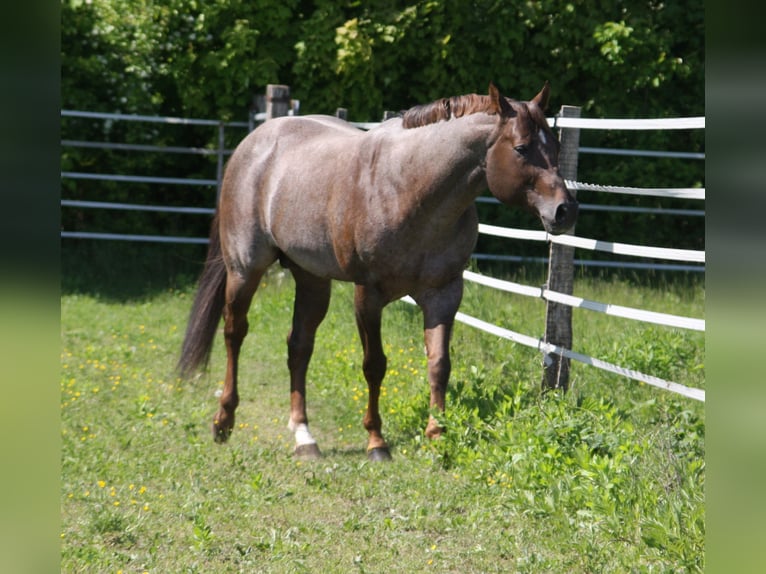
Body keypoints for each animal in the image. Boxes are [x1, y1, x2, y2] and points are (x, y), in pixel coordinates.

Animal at [178, 83, 577, 461]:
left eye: (556, 145)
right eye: (521, 148)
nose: (565, 211)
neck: (411, 190)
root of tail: (253, 144)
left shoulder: (444, 294)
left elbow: (439, 364)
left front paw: (437, 434)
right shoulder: (368, 296)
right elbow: (375, 365)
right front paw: (376, 441)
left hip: (312, 278)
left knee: (299, 346)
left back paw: (304, 437)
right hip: (245, 269)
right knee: (234, 333)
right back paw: (223, 421)